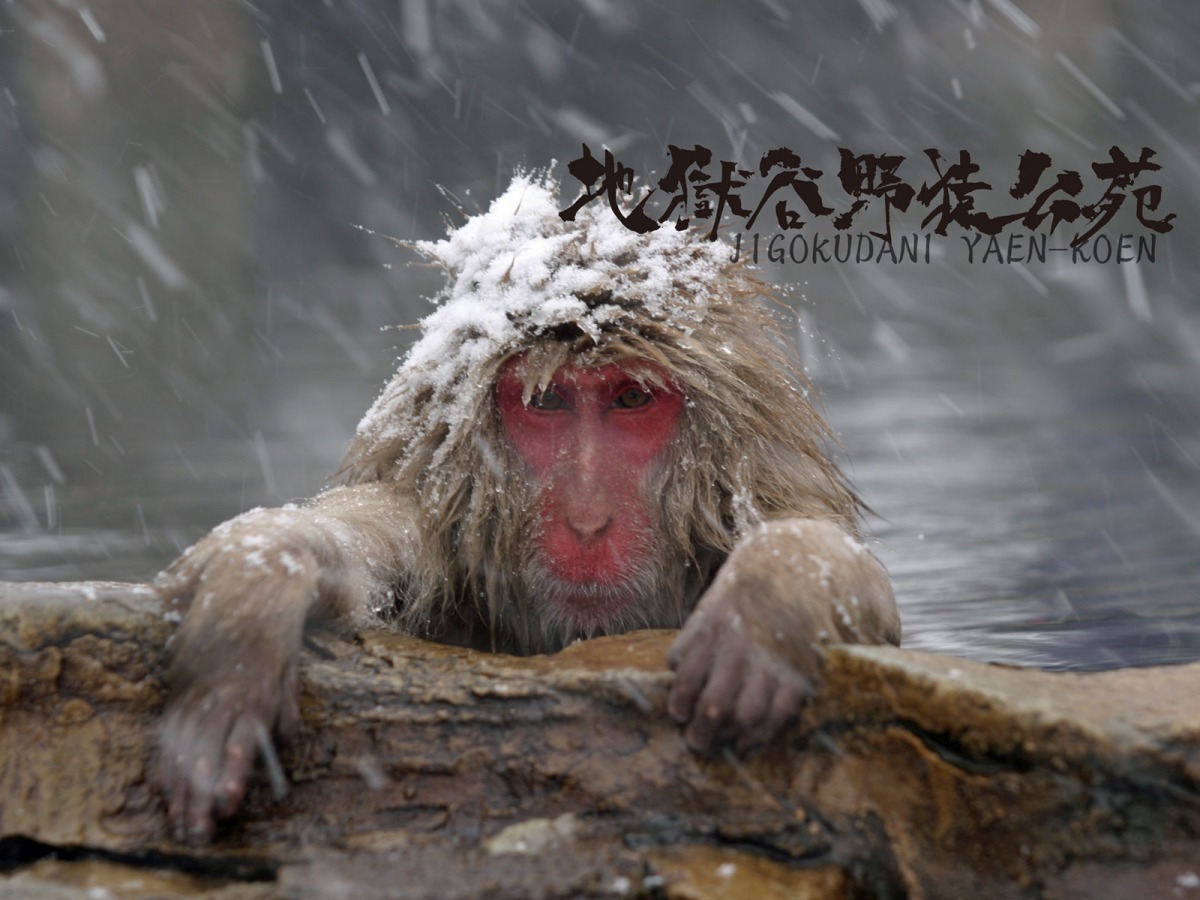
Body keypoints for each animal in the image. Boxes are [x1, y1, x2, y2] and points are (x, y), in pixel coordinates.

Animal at [156, 173, 900, 845]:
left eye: (631, 399)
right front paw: (252, 592)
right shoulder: (438, 529)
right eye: (547, 402)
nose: (588, 520)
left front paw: (772, 596)